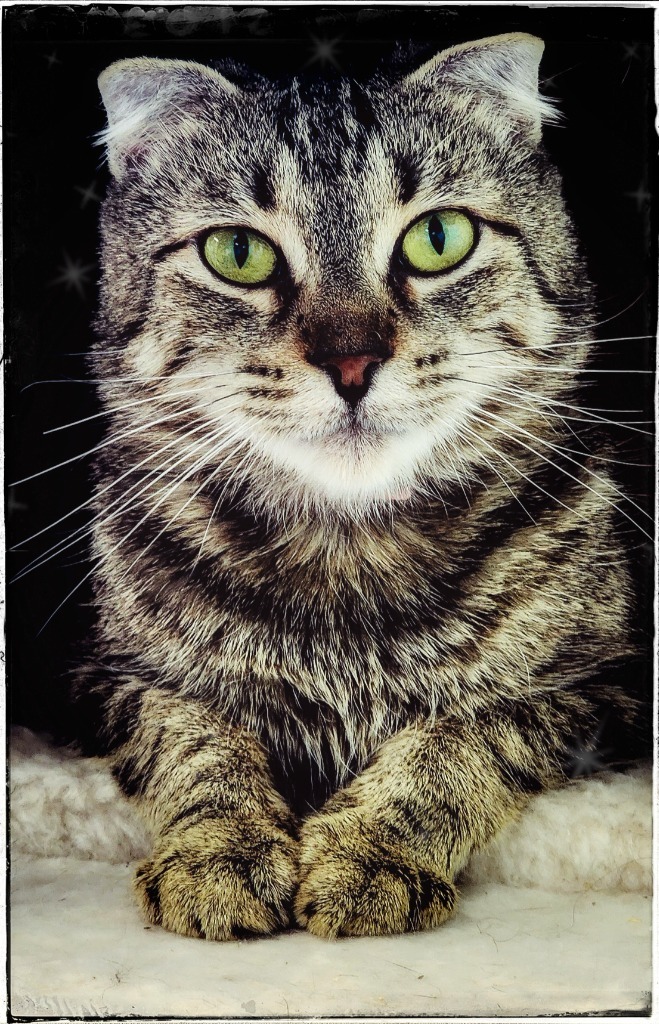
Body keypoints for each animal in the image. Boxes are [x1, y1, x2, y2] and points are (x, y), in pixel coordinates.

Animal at [64, 29, 646, 942]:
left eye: (438, 237)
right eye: (237, 254)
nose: (350, 361)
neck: (347, 552)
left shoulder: (594, 687)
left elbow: (465, 735)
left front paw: (373, 850)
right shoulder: (110, 677)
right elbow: (194, 736)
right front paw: (219, 849)